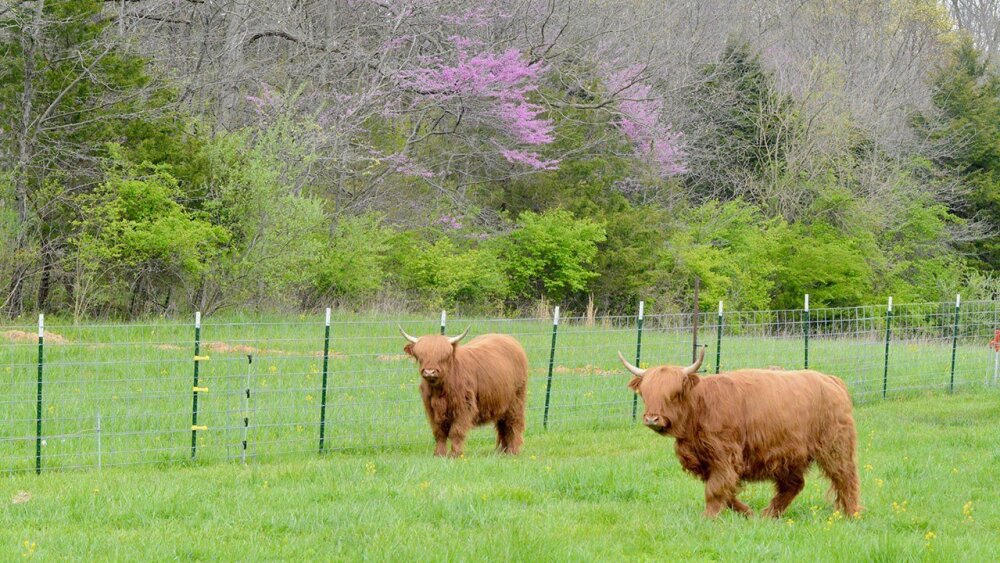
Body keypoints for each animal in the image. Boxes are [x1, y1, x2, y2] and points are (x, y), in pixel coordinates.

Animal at [398, 326, 528, 458]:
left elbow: (456, 431)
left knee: (514, 423)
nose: (430, 372)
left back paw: (513, 451)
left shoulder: (464, 407)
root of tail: (508, 338)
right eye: (420, 356)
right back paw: (503, 451)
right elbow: (439, 432)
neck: (440, 389)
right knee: (503, 425)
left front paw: (455, 454)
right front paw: (439, 454)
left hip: (517, 399)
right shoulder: (431, 409)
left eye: (444, 356)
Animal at [616, 348, 860, 520]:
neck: (700, 408)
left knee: (845, 477)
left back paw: (852, 514)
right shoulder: (706, 460)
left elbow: (716, 488)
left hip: (834, 445)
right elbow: (725, 489)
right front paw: (747, 513)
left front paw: (708, 518)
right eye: (645, 393)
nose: (652, 418)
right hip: (787, 454)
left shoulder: (725, 455)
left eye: (674, 394)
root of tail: (831, 380)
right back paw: (768, 515)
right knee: (794, 484)